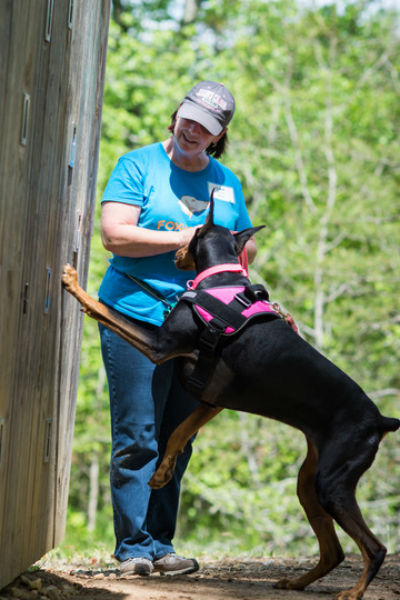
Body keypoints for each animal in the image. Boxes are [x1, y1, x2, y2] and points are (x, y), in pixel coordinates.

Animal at [61, 199, 398, 596]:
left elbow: (107, 311)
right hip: (310, 481)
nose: (174, 255)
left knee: (375, 547)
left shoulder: (160, 347)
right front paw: (161, 473)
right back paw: (296, 581)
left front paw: (73, 282)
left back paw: (354, 591)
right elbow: (178, 433)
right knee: (333, 551)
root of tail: (380, 420)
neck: (221, 282)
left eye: (189, 237)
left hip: (332, 482)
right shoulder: (211, 397)